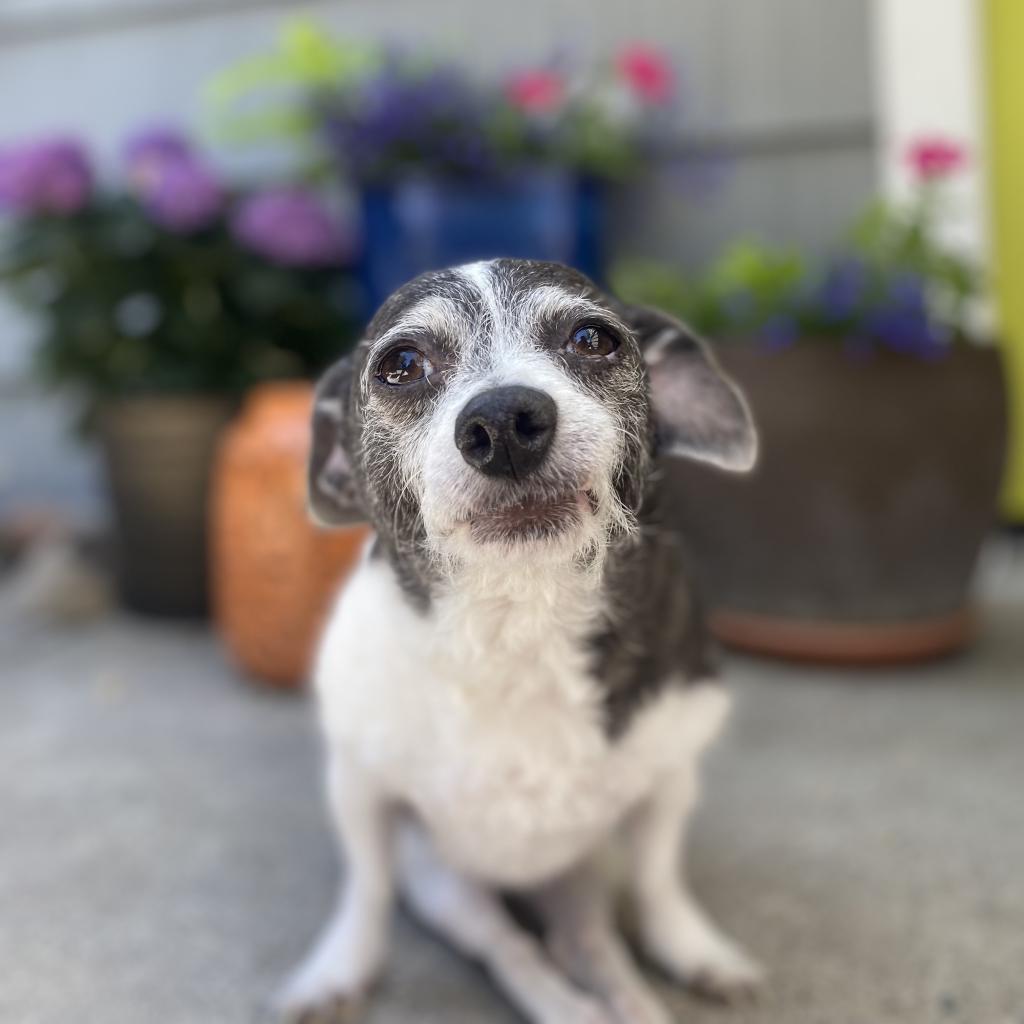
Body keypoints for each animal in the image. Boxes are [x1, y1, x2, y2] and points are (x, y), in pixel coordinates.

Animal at [278, 258, 761, 1024]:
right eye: (401, 365)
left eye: (594, 339)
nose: (504, 419)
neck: (519, 618)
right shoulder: (362, 789)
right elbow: (365, 888)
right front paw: (337, 968)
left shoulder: (668, 784)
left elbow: (660, 882)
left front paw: (694, 946)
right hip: (449, 887)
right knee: (515, 951)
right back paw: (571, 1009)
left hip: (588, 870)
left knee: (589, 943)